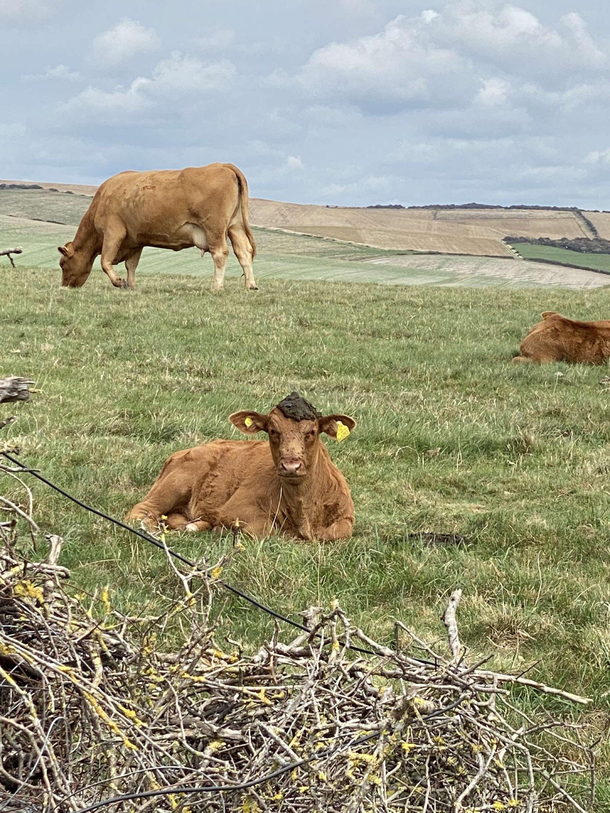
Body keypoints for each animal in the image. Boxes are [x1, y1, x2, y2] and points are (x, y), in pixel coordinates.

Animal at [57, 163, 256, 292]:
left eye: (62, 264)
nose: (64, 286)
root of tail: (222, 165)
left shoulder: (113, 232)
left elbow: (105, 261)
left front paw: (119, 282)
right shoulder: (135, 241)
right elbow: (131, 265)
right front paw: (131, 285)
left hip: (214, 228)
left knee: (220, 253)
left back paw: (217, 286)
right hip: (235, 226)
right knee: (243, 252)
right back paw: (251, 285)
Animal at [128, 392, 356, 540]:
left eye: (312, 432)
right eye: (273, 431)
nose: (291, 466)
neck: (304, 511)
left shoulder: (346, 518)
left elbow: (335, 533)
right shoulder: (235, 509)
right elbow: (266, 529)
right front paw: (223, 529)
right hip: (174, 485)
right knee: (139, 511)